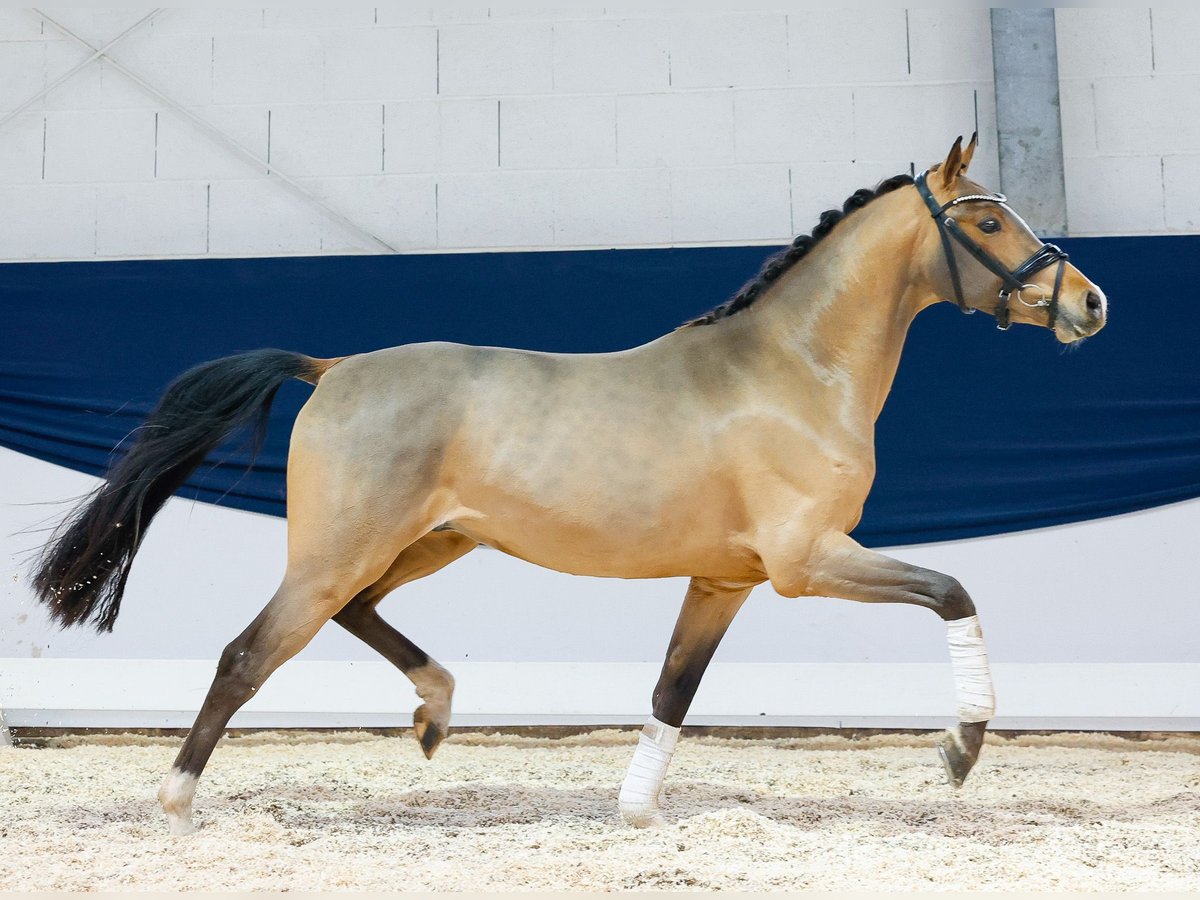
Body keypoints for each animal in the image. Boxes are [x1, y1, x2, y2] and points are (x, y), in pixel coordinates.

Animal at [32, 135, 1108, 840]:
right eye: (985, 218)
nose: (1090, 303)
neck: (794, 372)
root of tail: (332, 367)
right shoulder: (807, 563)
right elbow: (954, 592)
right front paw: (960, 748)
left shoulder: (726, 581)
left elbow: (673, 690)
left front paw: (635, 813)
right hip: (342, 550)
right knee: (247, 653)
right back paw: (177, 804)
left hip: (422, 544)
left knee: (355, 617)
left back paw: (435, 714)